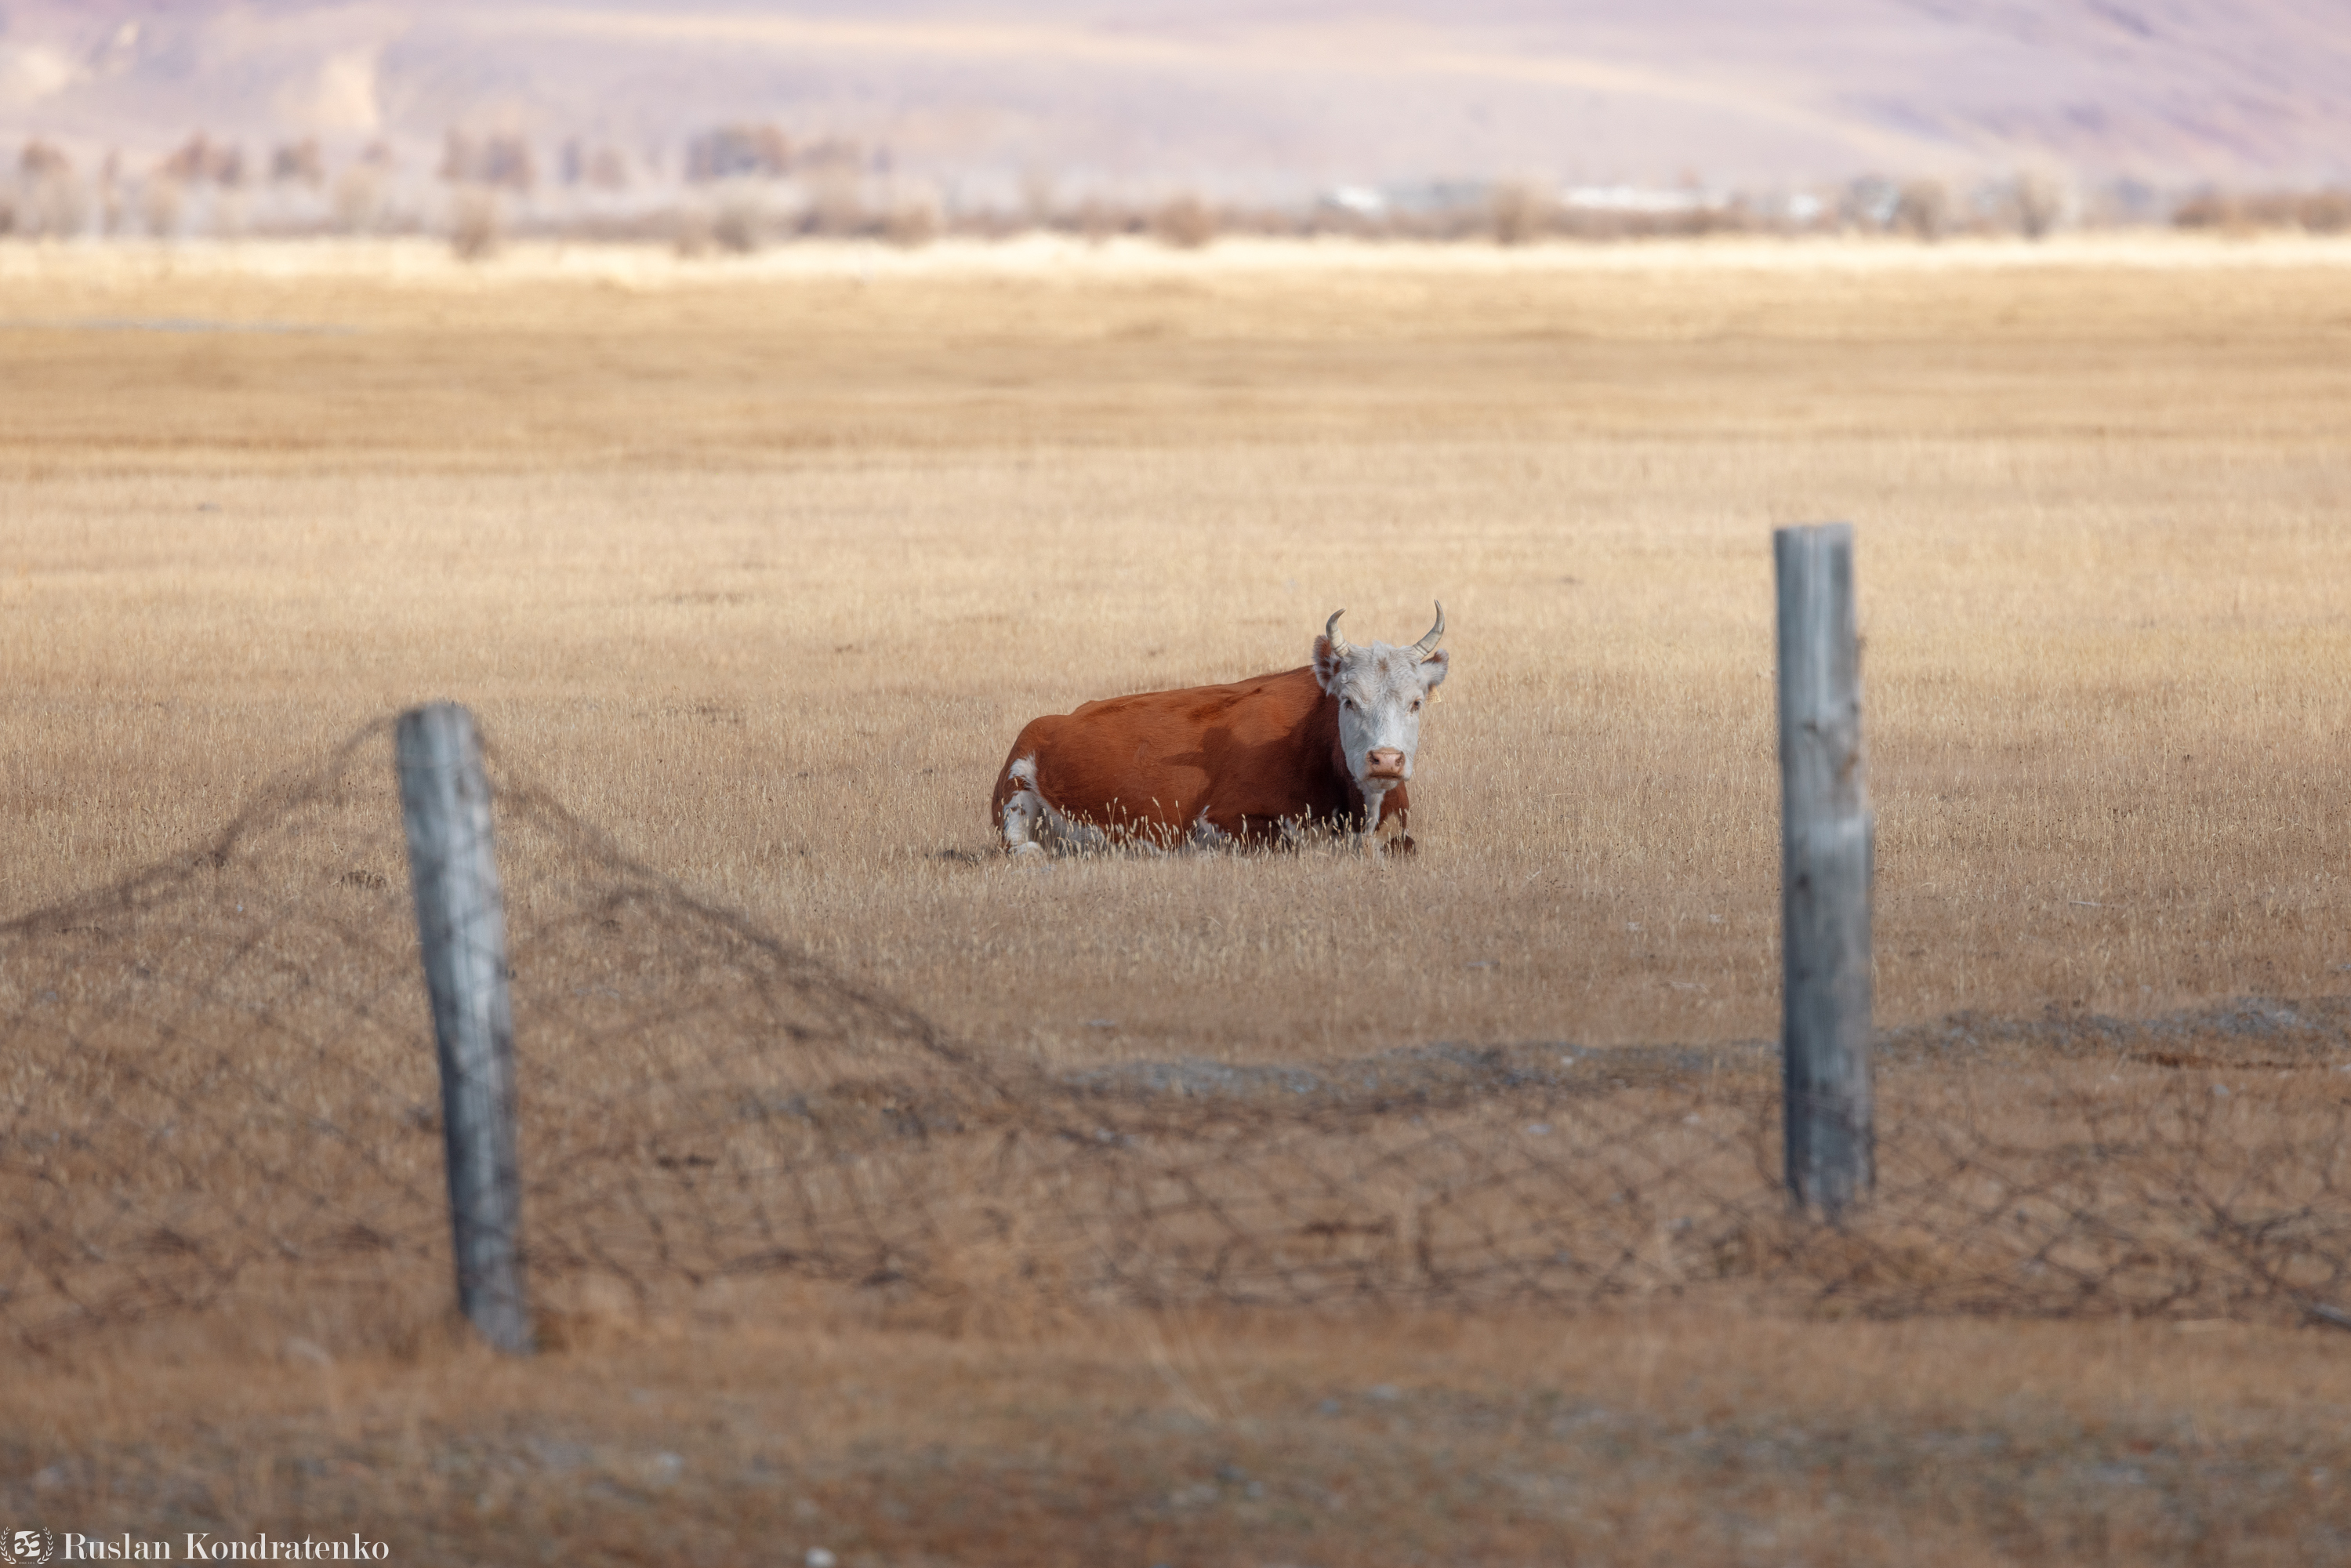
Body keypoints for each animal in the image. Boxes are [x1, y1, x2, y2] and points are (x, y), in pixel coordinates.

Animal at [992, 606, 1448, 860]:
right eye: (1349, 701)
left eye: (1416, 702)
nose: (1385, 759)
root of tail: (1059, 718)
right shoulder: (1220, 818)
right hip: (1018, 781)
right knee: (1019, 844)